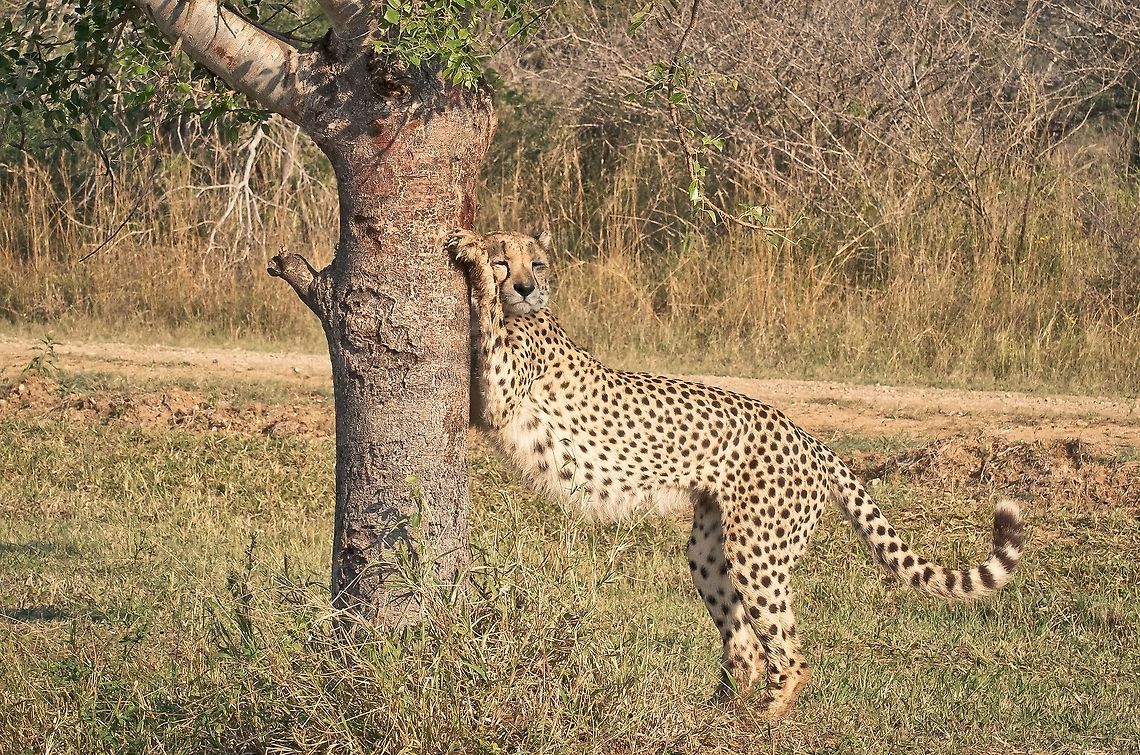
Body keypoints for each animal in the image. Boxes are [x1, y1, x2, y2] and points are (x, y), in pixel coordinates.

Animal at [449, 227, 1026, 721]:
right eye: (507, 261)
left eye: (537, 263)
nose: (525, 288)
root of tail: (809, 437)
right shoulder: (485, 410)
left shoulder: (500, 400)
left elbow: (488, 323)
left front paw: (470, 253)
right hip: (710, 550)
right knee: (745, 643)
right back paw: (719, 710)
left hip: (758, 552)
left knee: (790, 653)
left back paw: (764, 718)